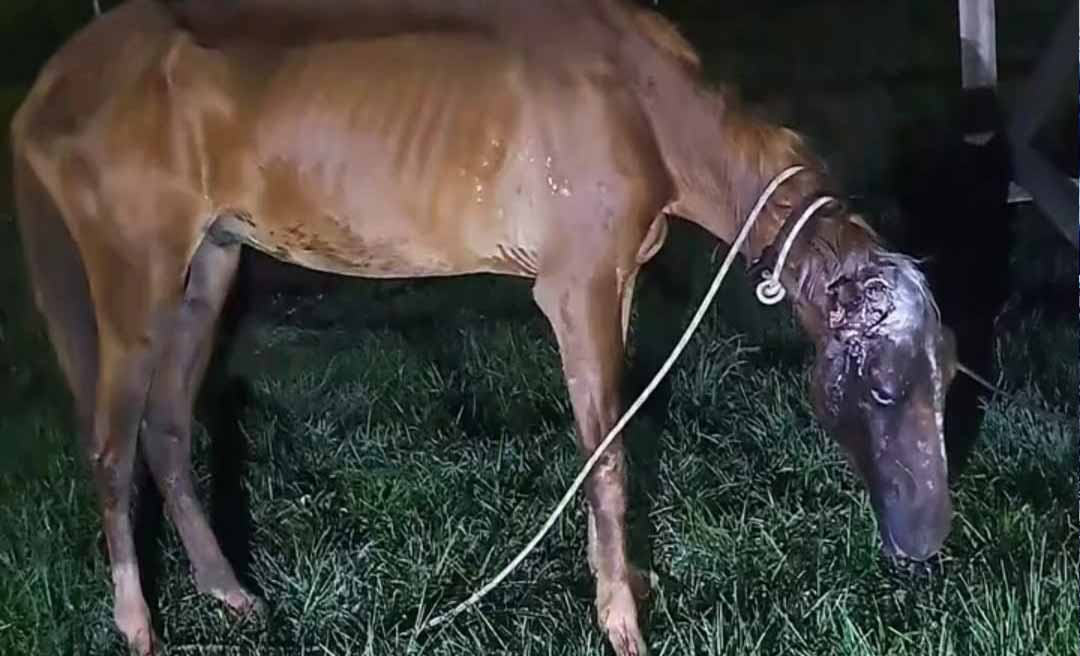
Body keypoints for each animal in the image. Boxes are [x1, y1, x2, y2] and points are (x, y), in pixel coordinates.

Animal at [10, 1, 958, 654]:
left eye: (949, 379)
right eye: (882, 387)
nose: (928, 546)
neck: (646, 106)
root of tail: (48, 87)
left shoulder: (616, 283)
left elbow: (614, 436)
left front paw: (628, 581)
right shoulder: (576, 287)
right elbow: (606, 457)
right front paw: (621, 623)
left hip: (207, 266)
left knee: (168, 428)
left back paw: (225, 592)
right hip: (131, 272)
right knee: (109, 445)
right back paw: (138, 626)